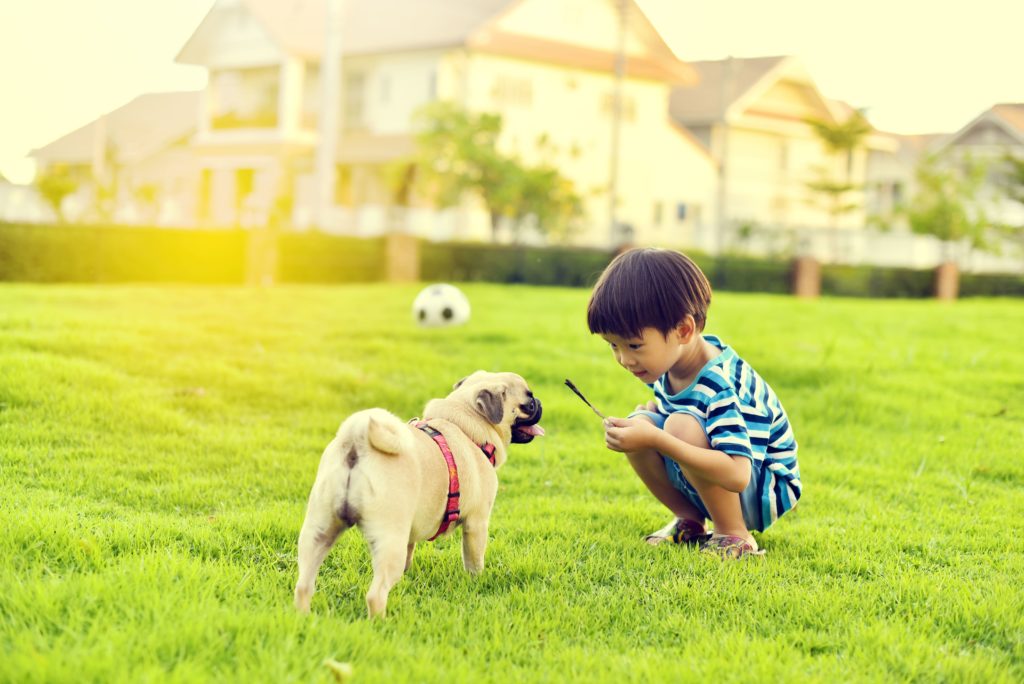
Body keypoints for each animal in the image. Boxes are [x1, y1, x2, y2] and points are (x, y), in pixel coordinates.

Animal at [292, 370, 544, 618]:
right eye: (528, 403)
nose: (539, 404)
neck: (464, 425)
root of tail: (357, 439)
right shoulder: (477, 523)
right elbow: (474, 561)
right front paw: (477, 582)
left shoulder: (411, 530)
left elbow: (409, 553)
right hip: (389, 538)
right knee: (375, 594)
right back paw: (380, 622)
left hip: (319, 531)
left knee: (304, 585)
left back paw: (304, 617)